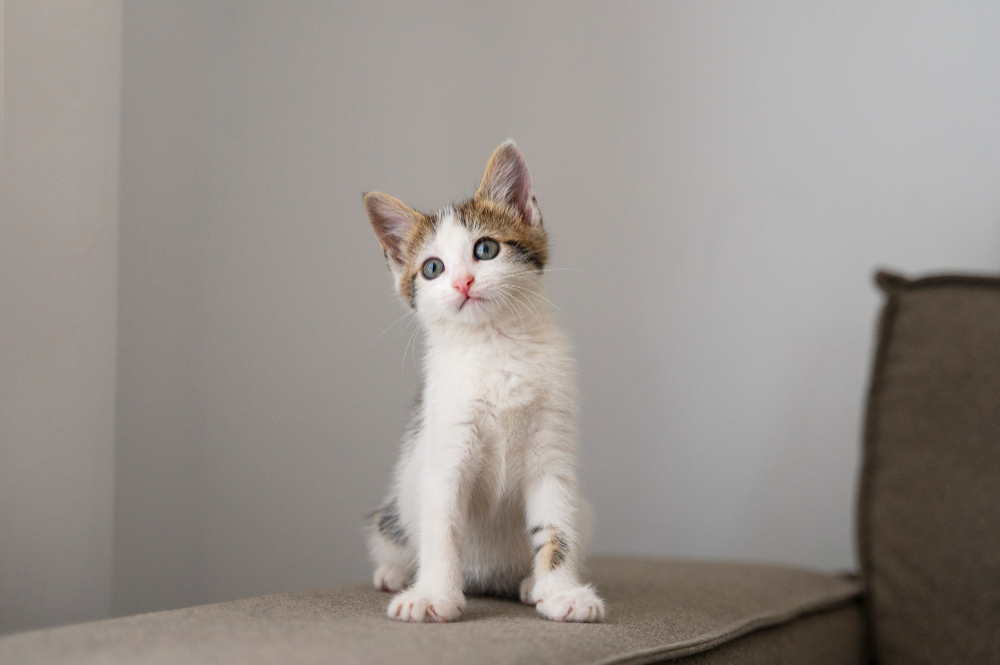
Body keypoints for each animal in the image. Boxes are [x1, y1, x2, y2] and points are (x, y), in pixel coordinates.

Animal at [366, 141, 604, 624]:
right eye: (432, 268)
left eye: (487, 248)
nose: (463, 282)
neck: (496, 346)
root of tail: (487, 579)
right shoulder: (445, 448)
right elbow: (440, 525)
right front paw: (432, 595)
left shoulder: (552, 451)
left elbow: (556, 524)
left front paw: (562, 593)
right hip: (393, 509)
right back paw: (394, 573)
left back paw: (530, 584)